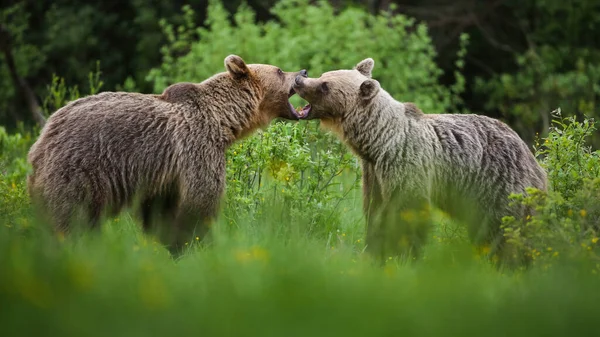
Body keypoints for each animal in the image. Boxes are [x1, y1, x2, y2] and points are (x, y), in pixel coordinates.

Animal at [292, 58, 548, 266]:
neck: (378, 141)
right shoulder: (374, 173)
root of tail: (532, 156)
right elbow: (375, 212)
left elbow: (408, 211)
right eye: (324, 75)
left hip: (499, 183)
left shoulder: (405, 162)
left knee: (506, 228)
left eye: (325, 85)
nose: (299, 79)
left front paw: (400, 254)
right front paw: (375, 251)